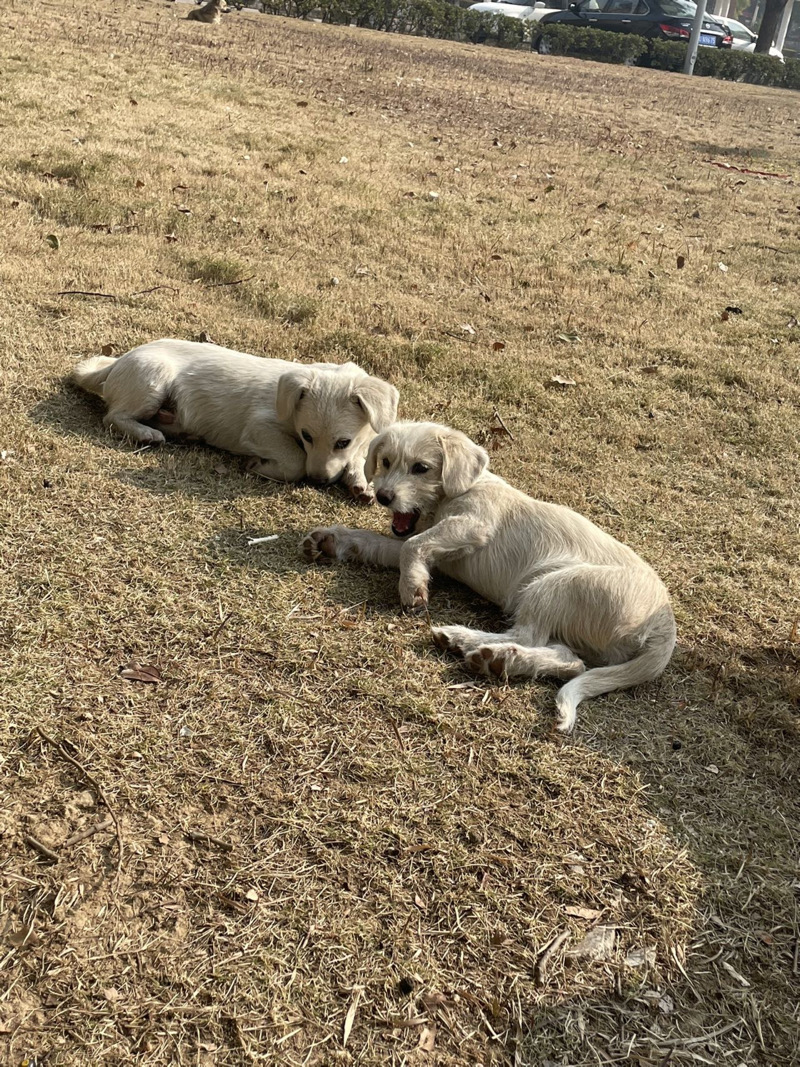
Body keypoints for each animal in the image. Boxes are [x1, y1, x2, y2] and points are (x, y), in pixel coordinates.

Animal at [73, 337, 398, 499]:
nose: (319, 482)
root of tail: (118, 362)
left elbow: (358, 458)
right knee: (113, 416)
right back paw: (145, 434)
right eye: (306, 436)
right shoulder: (260, 427)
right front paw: (259, 465)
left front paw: (360, 482)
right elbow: (295, 462)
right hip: (153, 380)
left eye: (343, 441)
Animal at [302, 420, 678, 729]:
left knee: (529, 636)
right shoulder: (425, 547)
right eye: (385, 461)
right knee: (570, 661)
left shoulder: (472, 526)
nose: (382, 496)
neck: (456, 493)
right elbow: (382, 542)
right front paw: (332, 540)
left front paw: (411, 588)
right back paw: (497, 658)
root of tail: (663, 626)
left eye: (421, 468)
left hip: (552, 585)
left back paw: (470, 641)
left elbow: (413, 546)